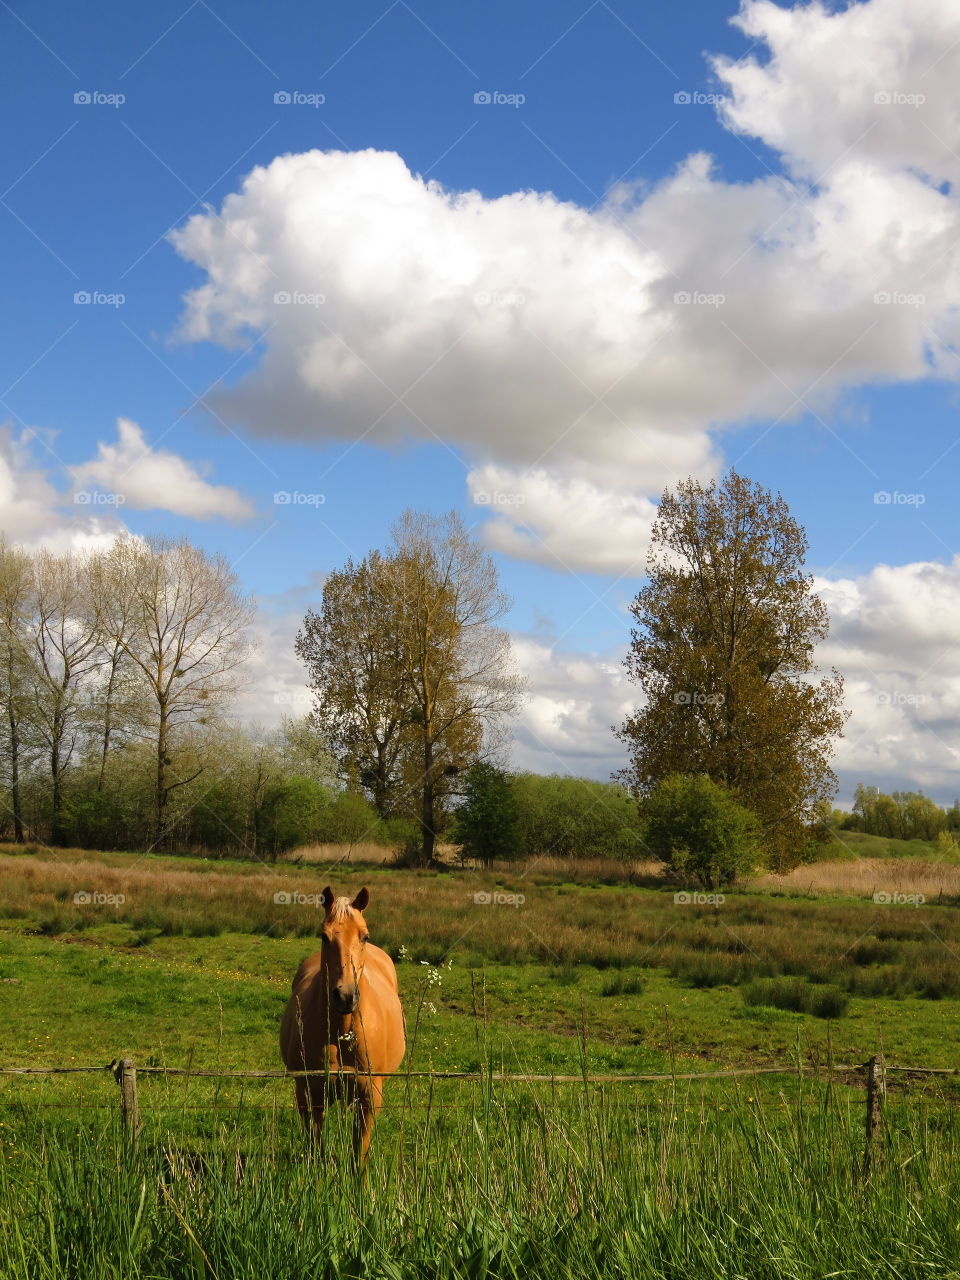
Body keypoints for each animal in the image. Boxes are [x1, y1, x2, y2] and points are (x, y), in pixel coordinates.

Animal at [280, 885, 404, 1167]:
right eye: (323, 936)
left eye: (364, 936)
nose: (345, 996)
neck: (341, 1030)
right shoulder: (309, 1094)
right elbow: (315, 1147)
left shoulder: (369, 1098)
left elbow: (360, 1154)